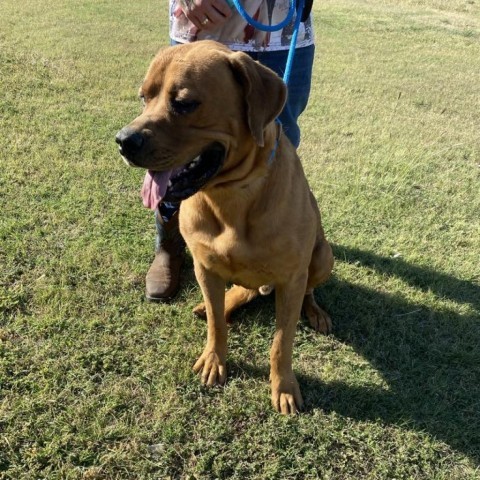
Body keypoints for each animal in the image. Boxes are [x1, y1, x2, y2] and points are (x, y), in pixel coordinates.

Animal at [116, 40, 334, 412]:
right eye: (144, 96)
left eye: (184, 103)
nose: (122, 141)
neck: (230, 196)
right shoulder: (205, 266)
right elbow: (218, 325)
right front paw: (214, 359)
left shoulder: (291, 278)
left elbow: (282, 342)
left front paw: (284, 386)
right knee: (243, 291)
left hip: (322, 257)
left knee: (307, 289)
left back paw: (316, 312)